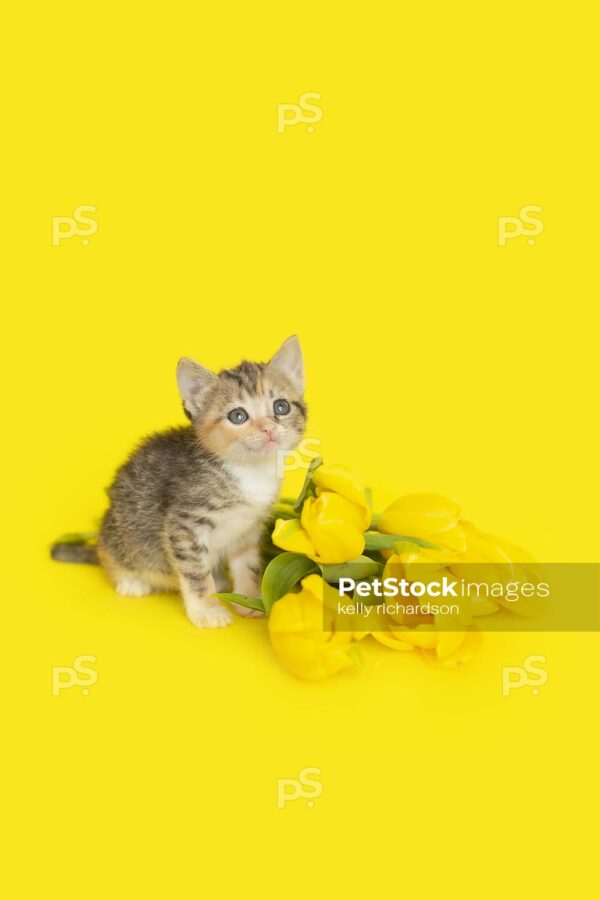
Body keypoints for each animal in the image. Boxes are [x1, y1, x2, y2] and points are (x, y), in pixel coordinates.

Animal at [54, 336, 308, 624]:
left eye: (281, 407)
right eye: (238, 416)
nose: (267, 428)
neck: (248, 470)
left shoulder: (249, 527)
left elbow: (247, 565)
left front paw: (248, 599)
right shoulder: (184, 525)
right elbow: (196, 574)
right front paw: (207, 609)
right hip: (120, 536)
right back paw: (131, 580)